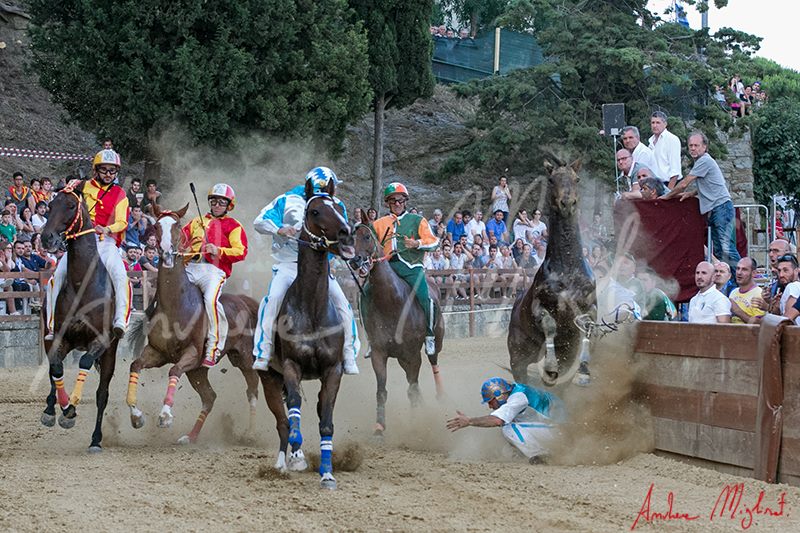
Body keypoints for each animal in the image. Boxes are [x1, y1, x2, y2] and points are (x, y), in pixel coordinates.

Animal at [39, 181, 122, 450]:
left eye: (71, 205)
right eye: (50, 205)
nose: (46, 237)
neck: (82, 283)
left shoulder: (101, 340)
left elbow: (85, 364)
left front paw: (72, 408)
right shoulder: (60, 337)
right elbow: (56, 368)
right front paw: (62, 409)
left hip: (110, 353)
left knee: (102, 393)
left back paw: (96, 439)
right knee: (54, 369)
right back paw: (51, 408)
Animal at [125, 204, 260, 444]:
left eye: (178, 226)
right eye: (156, 226)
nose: (166, 253)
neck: (176, 307)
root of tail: (244, 301)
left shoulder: (193, 353)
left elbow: (174, 370)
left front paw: (165, 415)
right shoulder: (157, 352)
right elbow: (136, 365)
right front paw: (137, 416)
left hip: (242, 358)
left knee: (252, 389)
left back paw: (251, 433)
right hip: (198, 371)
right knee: (209, 397)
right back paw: (191, 436)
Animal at [346, 210, 444, 438]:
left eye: (366, 236)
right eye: (349, 238)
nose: (356, 261)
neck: (390, 302)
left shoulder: (413, 354)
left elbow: (412, 389)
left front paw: (417, 424)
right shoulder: (380, 353)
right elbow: (382, 391)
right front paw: (379, 428)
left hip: (434, 343)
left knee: (433, 362)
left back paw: (439, 395)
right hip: (400, 358)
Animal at [506, 158, 592, 386]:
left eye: (576, 179)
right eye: (552, 179)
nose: (567, 203)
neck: (568, 270)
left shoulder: (590, 304)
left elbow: (587, 325)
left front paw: (582, 369)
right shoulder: (540, 305)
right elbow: (550, 325)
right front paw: (550, 368)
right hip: (517, 358)